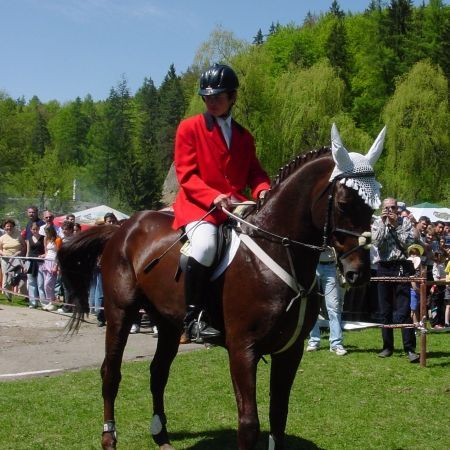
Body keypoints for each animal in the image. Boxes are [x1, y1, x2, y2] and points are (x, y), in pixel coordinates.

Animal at [58, 125, 384, 450]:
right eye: (343, 204)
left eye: (374, 206)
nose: (358, 273)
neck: (280, 252)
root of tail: (122, 228)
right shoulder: (243, 350)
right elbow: (249, 424)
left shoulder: (290, 351)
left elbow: (279, 417)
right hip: (120, 312)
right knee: (111, 373)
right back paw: (109, 437)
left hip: (168, 322)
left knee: (158, 372)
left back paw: (161, 436)